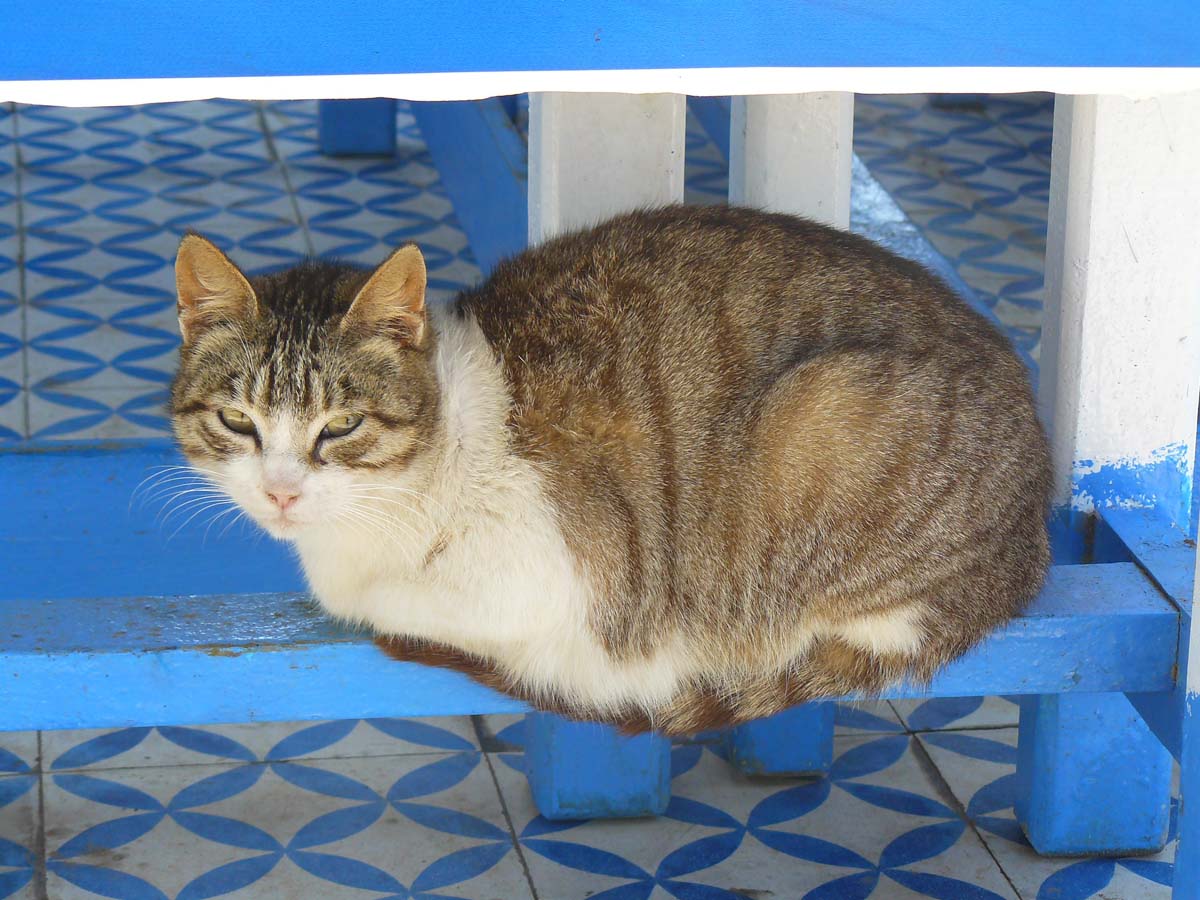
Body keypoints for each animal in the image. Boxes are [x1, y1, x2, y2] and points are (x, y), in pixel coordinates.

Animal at [169, 206, 1051, 739]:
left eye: (341, 427)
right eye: (239, 422)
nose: (281, 490)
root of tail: (1026, 544)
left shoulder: (549, 575)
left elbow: (382, 603)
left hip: (823, 415)